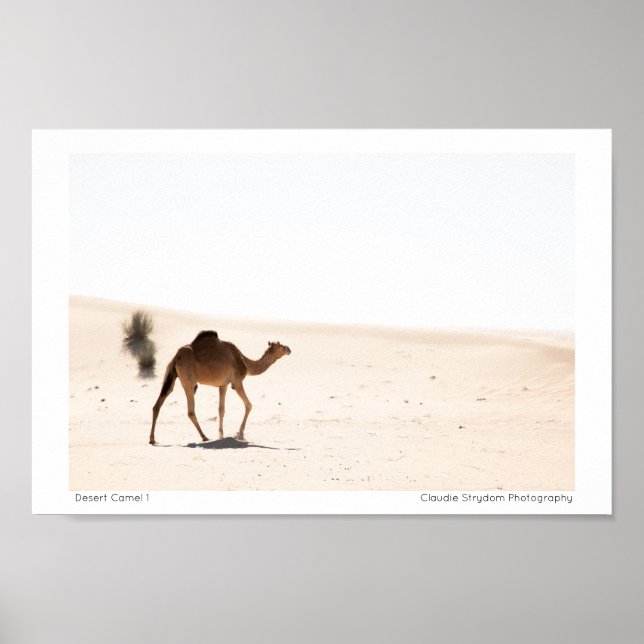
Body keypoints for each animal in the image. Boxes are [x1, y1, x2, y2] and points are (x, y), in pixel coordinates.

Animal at [149, 330, 291, 445]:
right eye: (281, 345)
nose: (289, 349)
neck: (244, 361)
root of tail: (175, 357)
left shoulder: (223, 385)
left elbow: (221, 410)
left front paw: (221, 435)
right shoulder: (236, 382)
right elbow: (249, 405)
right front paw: (239, 433)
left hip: (171, 376)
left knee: (158, 404)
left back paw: (152, 439)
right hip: (189, 380)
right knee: (190, 410)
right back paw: (204, 437)